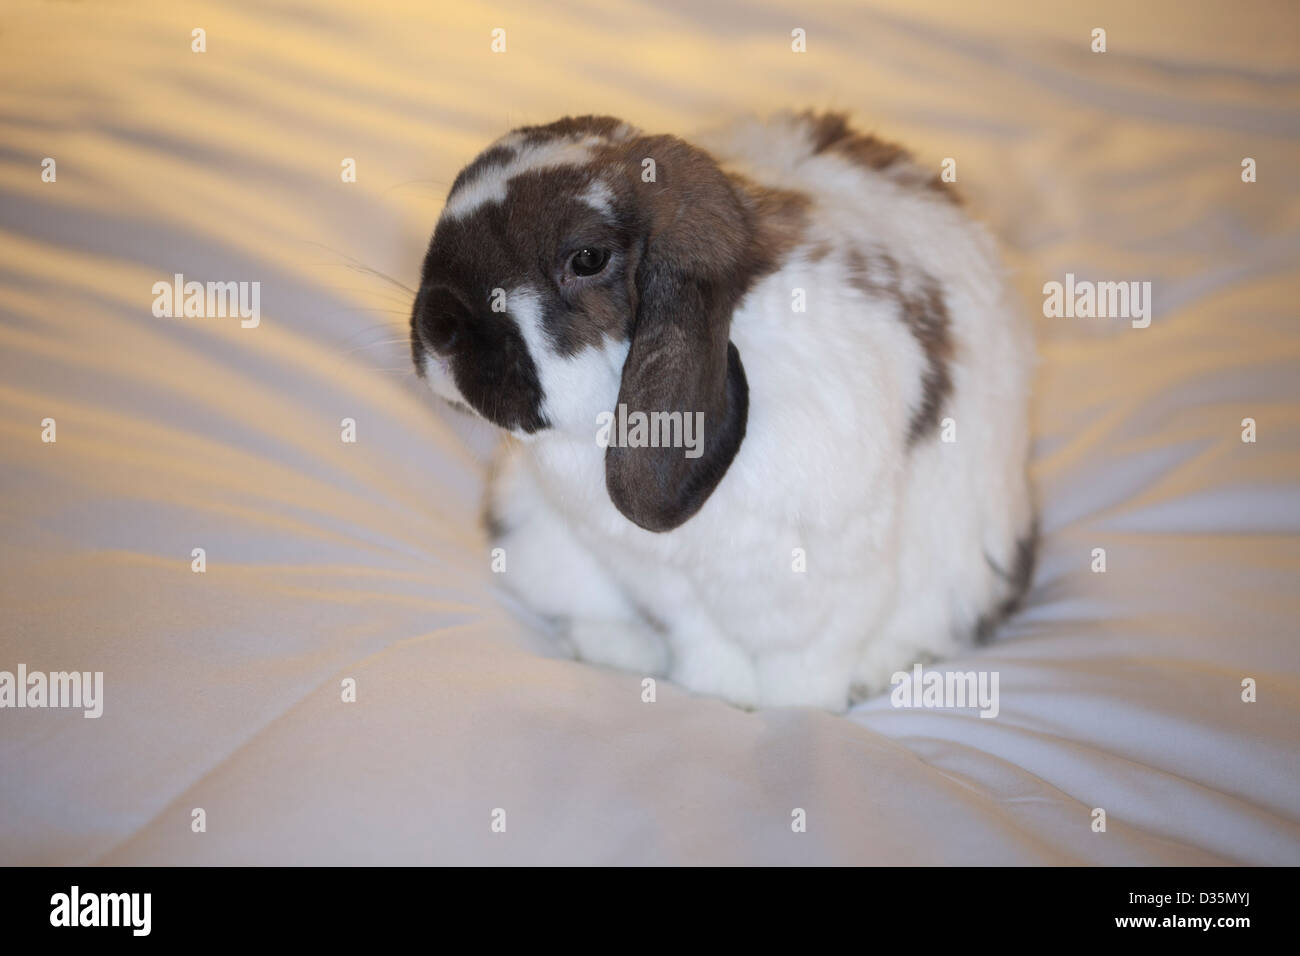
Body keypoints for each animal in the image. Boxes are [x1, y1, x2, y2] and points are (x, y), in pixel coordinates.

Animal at [409, 111, 1036, 712]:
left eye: (587, 258)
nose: (436, 321)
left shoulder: (830, 589)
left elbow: (806, 673)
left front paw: (795, 717)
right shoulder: (671, 587)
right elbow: (706, 649)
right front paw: (717, 699)